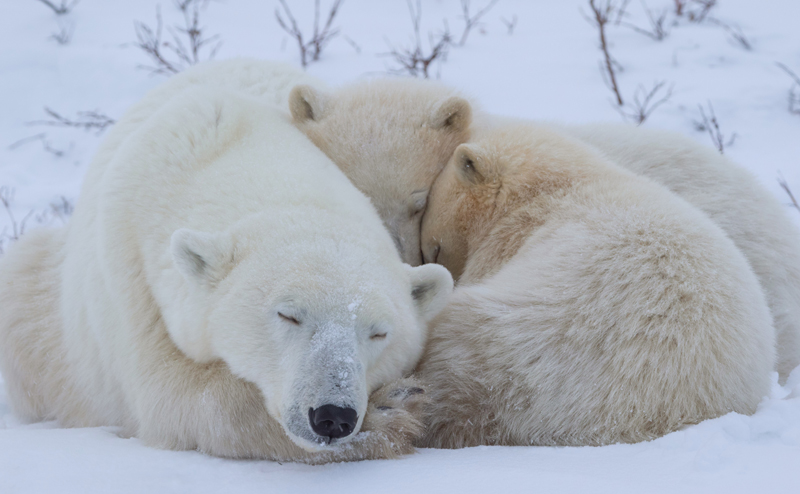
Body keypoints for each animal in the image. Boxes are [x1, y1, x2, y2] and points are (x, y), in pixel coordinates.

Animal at [0, 86, 454, 464]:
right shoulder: (134, 280)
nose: (332, 416)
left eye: (378, 333)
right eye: (288, 315)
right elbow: (172, 397)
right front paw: (394, 410)